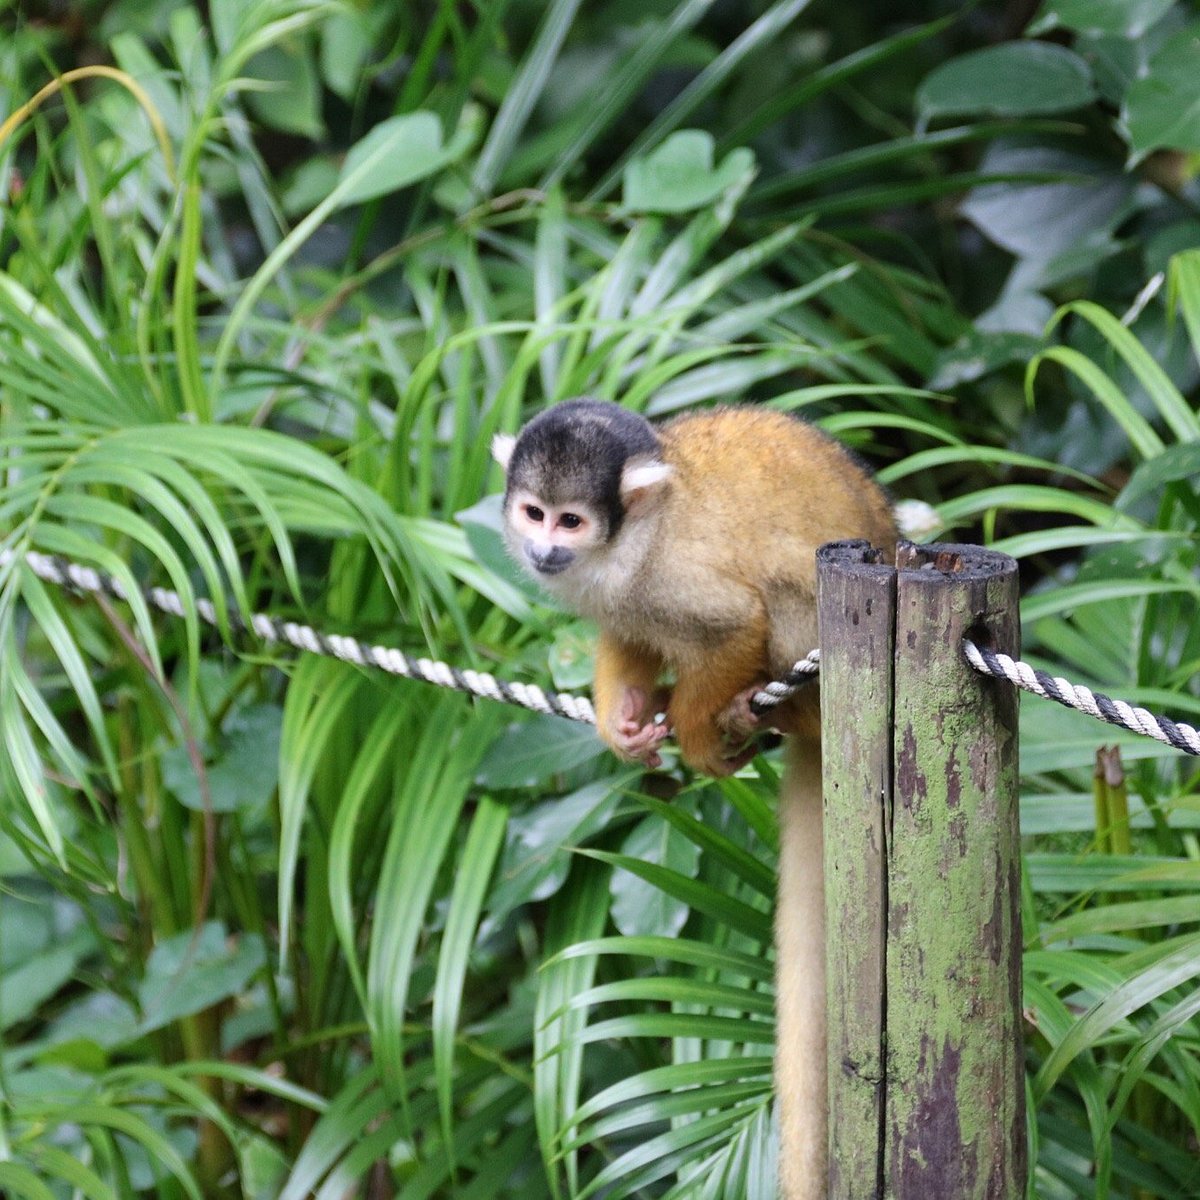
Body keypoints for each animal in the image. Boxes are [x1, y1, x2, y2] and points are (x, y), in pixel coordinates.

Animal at [492, 398, 897, 1195]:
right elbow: (626, 631)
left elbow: (734, 622)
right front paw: (623, 720)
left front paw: (694, 727)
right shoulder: (619, 588)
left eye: (571, 521)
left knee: (780, 598)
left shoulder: (670, 572)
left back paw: (757, 714)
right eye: (534, 513)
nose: (545, 551)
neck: (633, 540)